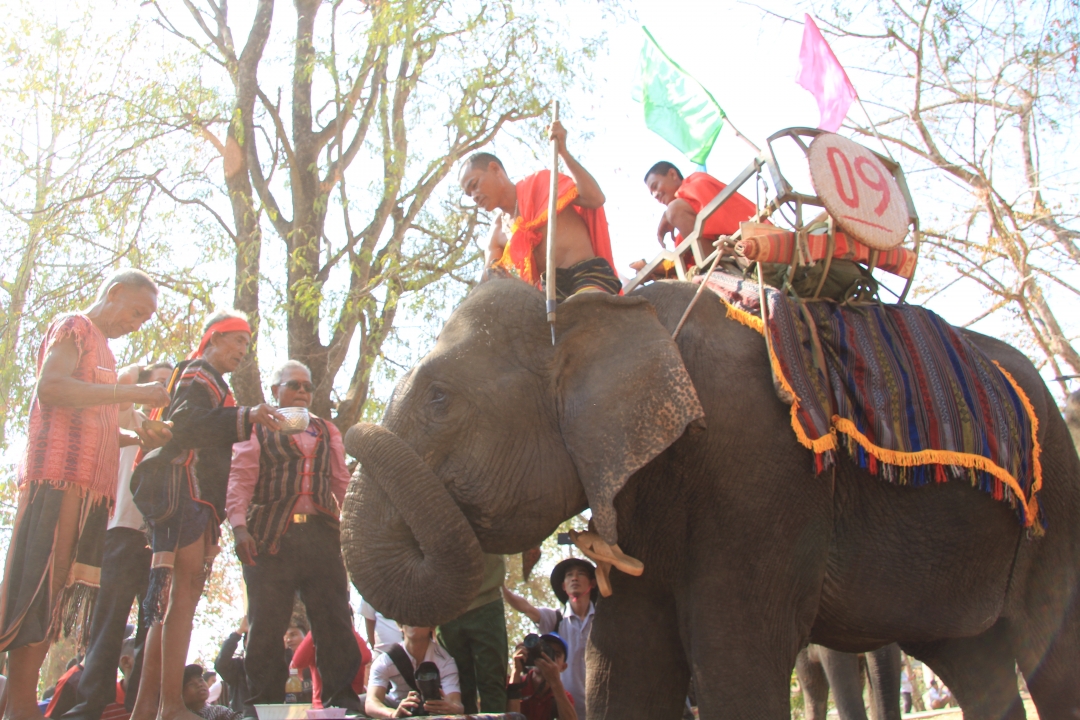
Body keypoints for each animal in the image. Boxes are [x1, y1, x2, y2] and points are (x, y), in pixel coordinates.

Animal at [341, 280, 1080, 720]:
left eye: (439, 400)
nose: (347, 427)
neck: (612, 310)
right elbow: (624, 667)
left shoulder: (763, 471)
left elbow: (733, 664)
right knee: (976, 663)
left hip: (1061, 495)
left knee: (1050, 655)